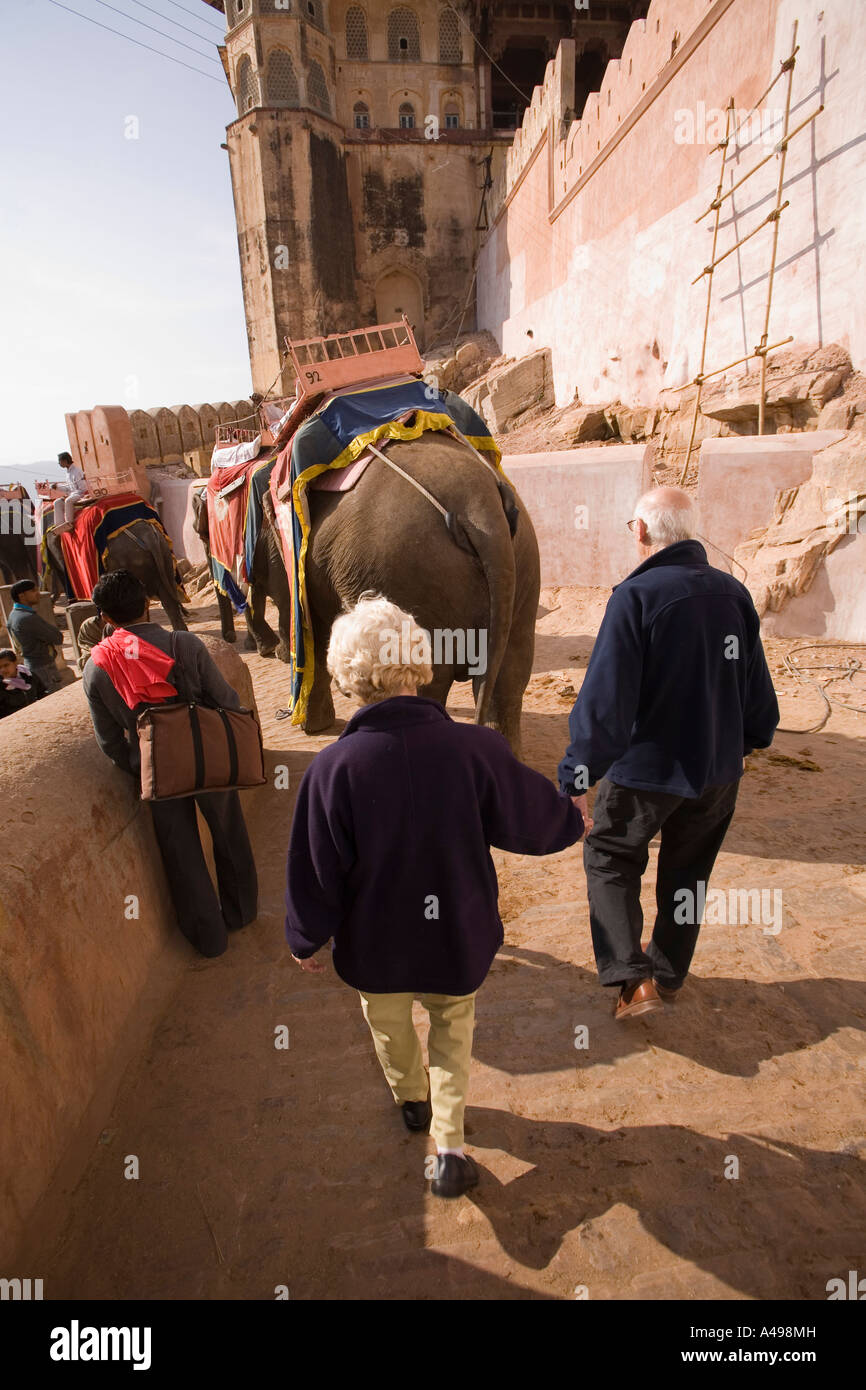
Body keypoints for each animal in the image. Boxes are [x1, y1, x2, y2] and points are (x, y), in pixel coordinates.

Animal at [190, 489, 294, 661]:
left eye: (202, 535)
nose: (230, 637)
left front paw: (268, 649)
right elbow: (254, 592)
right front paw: (259, 647)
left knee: (282, 595)